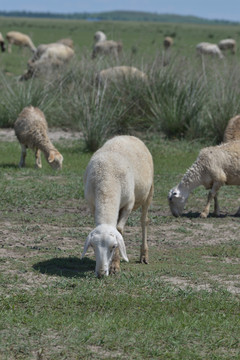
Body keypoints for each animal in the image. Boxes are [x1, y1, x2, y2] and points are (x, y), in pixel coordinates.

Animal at [82, 135, 154, 278]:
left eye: (114, 246)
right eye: (92, 246)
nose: (101, 273)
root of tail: (128, 136)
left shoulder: (128, 205)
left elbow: (119, 229)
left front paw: (115, 265)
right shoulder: (92, 205)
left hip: (149, 192)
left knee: (144, 221)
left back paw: (144, 255)